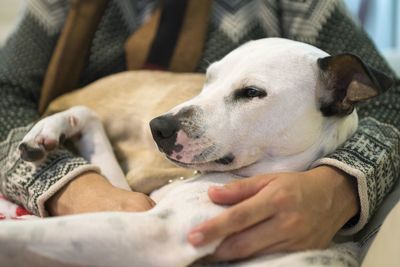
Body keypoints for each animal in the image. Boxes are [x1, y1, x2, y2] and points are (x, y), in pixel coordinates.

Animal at [0, 38, 390, 267]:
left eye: (251, 92)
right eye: (208, 79)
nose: (157, 128)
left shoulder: (156, 233)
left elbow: (20, 235)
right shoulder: (131, 203)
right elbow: (89, 116)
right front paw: (46, 133)